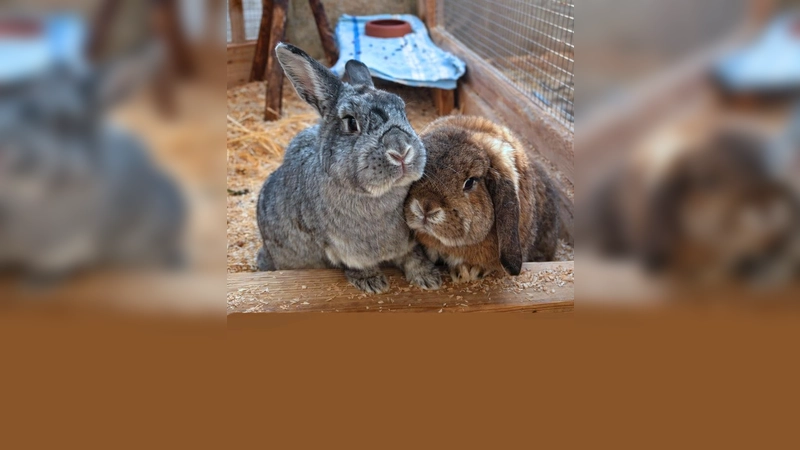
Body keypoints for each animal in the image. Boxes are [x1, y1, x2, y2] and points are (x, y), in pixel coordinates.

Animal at [255, 43, 441, 294]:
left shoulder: (408, 243)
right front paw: (373, 283)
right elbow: (355, 264)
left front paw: (429, 279)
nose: (401, 151)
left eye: (403, 112)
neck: (378, 197)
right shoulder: (340, 249)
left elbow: (414, 257)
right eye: (351, 122)